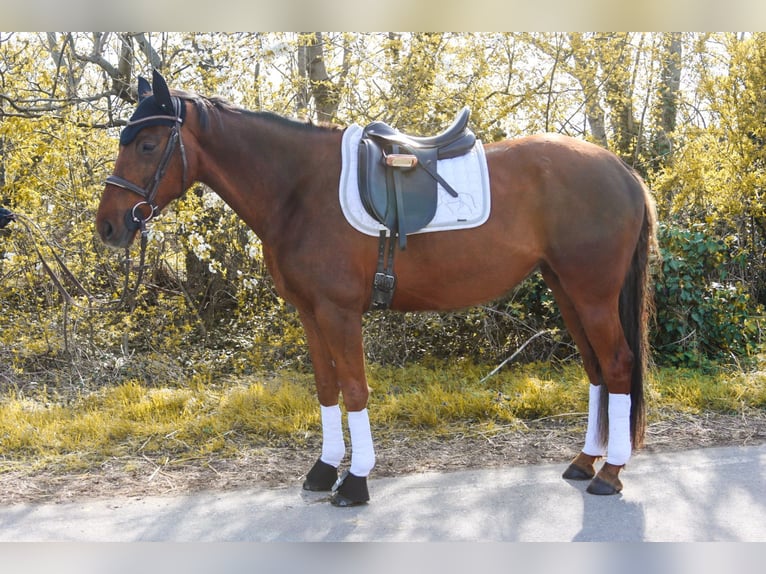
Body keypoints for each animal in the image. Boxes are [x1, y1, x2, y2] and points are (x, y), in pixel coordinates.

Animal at [96, 70, 657, 506]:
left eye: (147, 144)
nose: (107, 227)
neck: (299, 189)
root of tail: (622, 169)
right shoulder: (309, 312)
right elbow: (326, 388)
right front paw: (324, 470)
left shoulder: (339, 311)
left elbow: (355, 389)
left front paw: (355, 482)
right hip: (566, 289)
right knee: (596, 369)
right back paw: (585, 461)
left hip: (592, 293)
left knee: (618, 364)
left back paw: (610, 474)